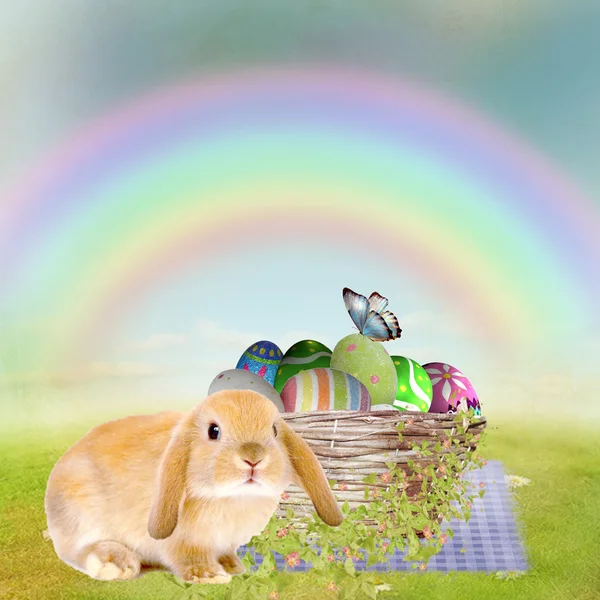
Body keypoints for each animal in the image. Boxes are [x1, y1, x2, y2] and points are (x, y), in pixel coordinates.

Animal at [45, 390, 342, 580]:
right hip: (80, 511)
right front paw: (211, 576)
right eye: (214, 431)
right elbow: (188, 558)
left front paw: (233, 567)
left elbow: (225, 553)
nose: (253, 458)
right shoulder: (184, 542)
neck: (232, 498)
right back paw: (117, 565)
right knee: (78, 550)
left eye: (274, 430)